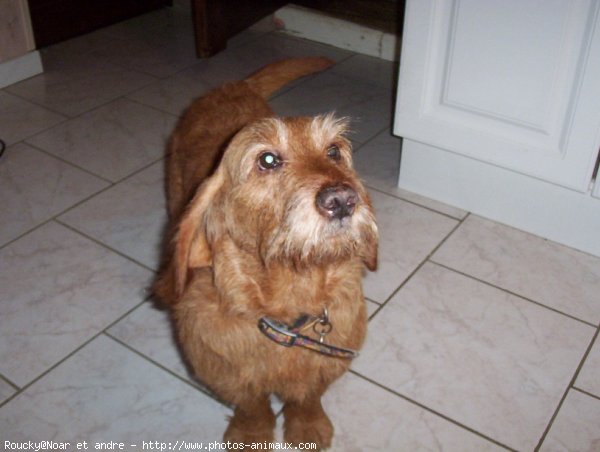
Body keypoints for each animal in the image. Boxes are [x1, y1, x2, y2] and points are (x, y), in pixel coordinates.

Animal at [155, 59, 380, 448]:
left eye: (334, 151)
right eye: (269, 159)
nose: (342, 199)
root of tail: (231, 86)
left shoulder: (324, 364)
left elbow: (307, 397)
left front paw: (307, 427)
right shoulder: (227, 375)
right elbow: (252, 406)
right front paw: (253, 435)